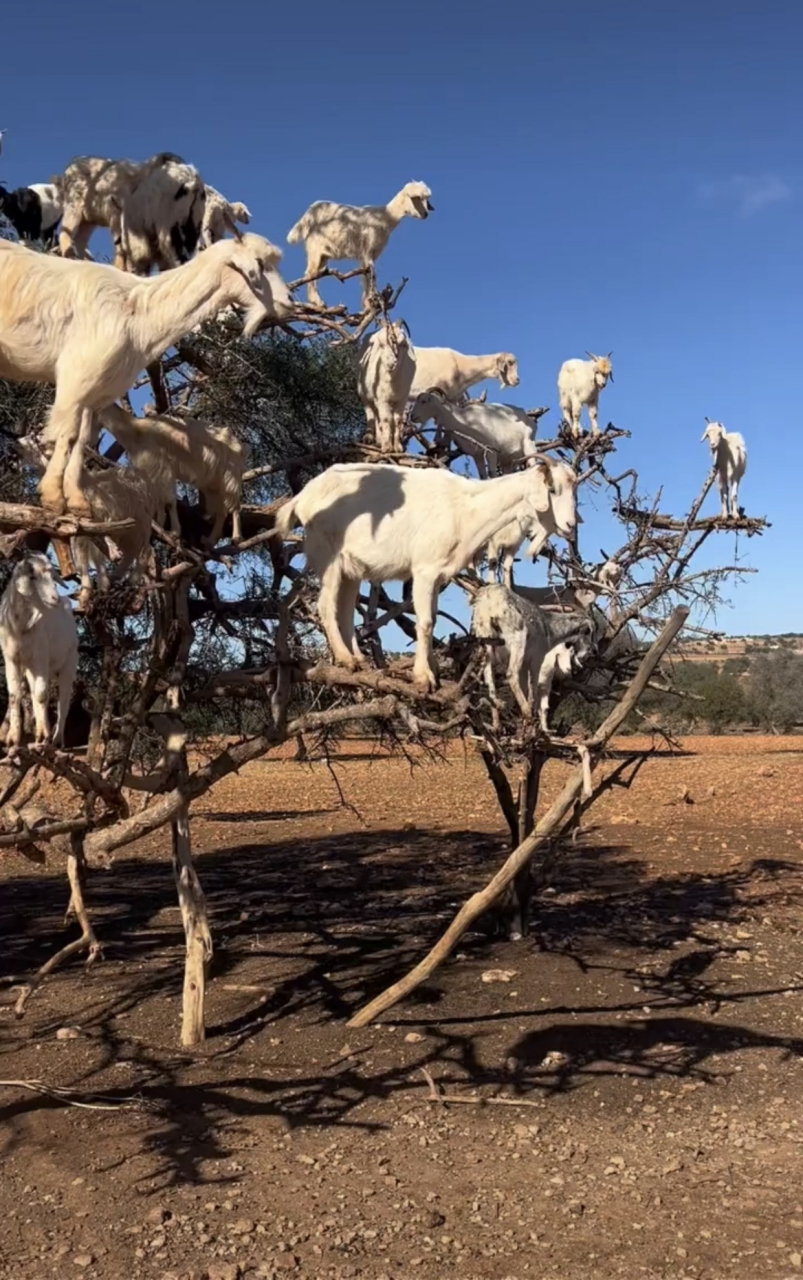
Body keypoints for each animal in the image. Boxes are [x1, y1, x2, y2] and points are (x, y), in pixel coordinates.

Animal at [0, 552, 78, 747]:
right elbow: (15, 695)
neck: (21, 626)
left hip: (69, 663)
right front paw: (13, 738)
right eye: (32, 577)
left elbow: (41, 695)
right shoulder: (11, 658)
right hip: (32, 667)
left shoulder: (40, 655)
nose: (55, 599)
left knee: (62, 701)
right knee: (37, 693)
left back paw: (56, 739)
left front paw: (42, 736)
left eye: (52, 577)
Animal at [97, 401, 243, 542]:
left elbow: (169, 501)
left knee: (234, 506)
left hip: (231, 476)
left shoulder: (163, 468)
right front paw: (160, 525)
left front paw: (175, 532)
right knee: (222, 511)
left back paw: (236, 537)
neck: (136, 430)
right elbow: (159, 500)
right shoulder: (152, 471)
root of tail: (239, 445)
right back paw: (210, 541)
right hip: (212, 483)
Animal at [276, 458, 578, 696]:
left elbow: (431, 618)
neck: (466, 509)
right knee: (326, 605)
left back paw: (358, 659)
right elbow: (425, 622)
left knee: (346, 611)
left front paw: (432, 667)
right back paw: (344, 658)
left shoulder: (438, 574)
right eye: (552, 489)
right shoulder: (423, 570)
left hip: (351, 567)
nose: (570, 525)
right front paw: (424, 678)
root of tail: (303, 496)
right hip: (327, 554)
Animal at [286, 180, 432, 307]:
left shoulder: (371, 254)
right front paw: (370, 300)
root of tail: (309, 213)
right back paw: (318, 302)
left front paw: (367, 302)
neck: (386, 217)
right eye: (417, 198)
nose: (426, 214)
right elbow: (371, 276)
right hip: (315, 246)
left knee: (313, 273)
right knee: (310, 273)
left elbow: (367, 274)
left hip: (323, 254)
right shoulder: (368, 249)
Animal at [358, 320, 417, 455]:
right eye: (380, 344)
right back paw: (370, 438)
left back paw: (379, 441)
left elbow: (396, 420)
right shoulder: (381, 399)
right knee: (370, 413)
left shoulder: (401, 400)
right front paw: (387, 447)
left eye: (403, 344)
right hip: (364, 394)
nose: (391, 363)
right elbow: (385, 420)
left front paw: (397, 447)